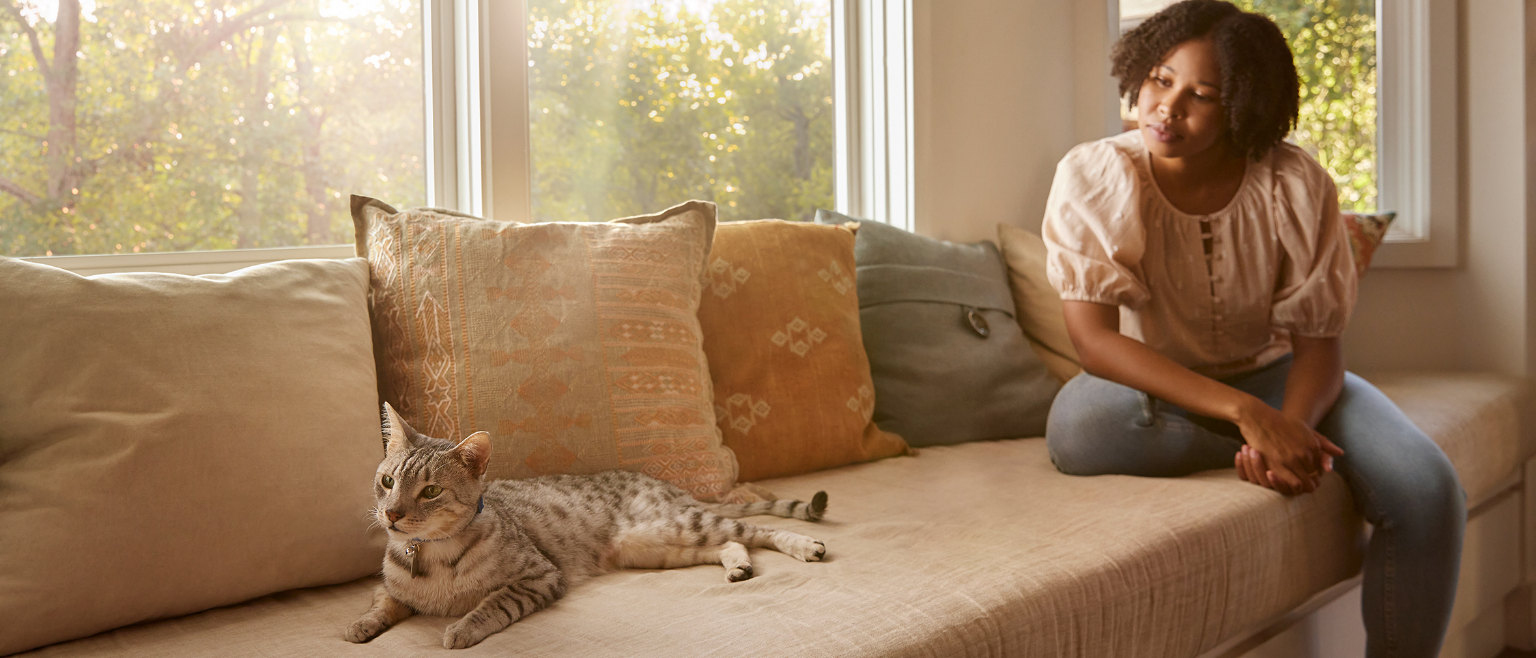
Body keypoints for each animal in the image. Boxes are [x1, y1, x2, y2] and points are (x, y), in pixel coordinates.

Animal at [344, 399, 835, 648]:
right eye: (387, 481)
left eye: (430, 492)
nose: (391, 514)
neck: (428, 555)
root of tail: (670, 486)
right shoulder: (393, 589)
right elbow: (382, 601)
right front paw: (362, 624)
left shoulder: (541, 577)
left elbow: (493, 604)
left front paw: (462, 628)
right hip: (658, 547)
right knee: (729, 545)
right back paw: (738, 566)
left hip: (680, 525)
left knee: (757, 532)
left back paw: (803, 545)